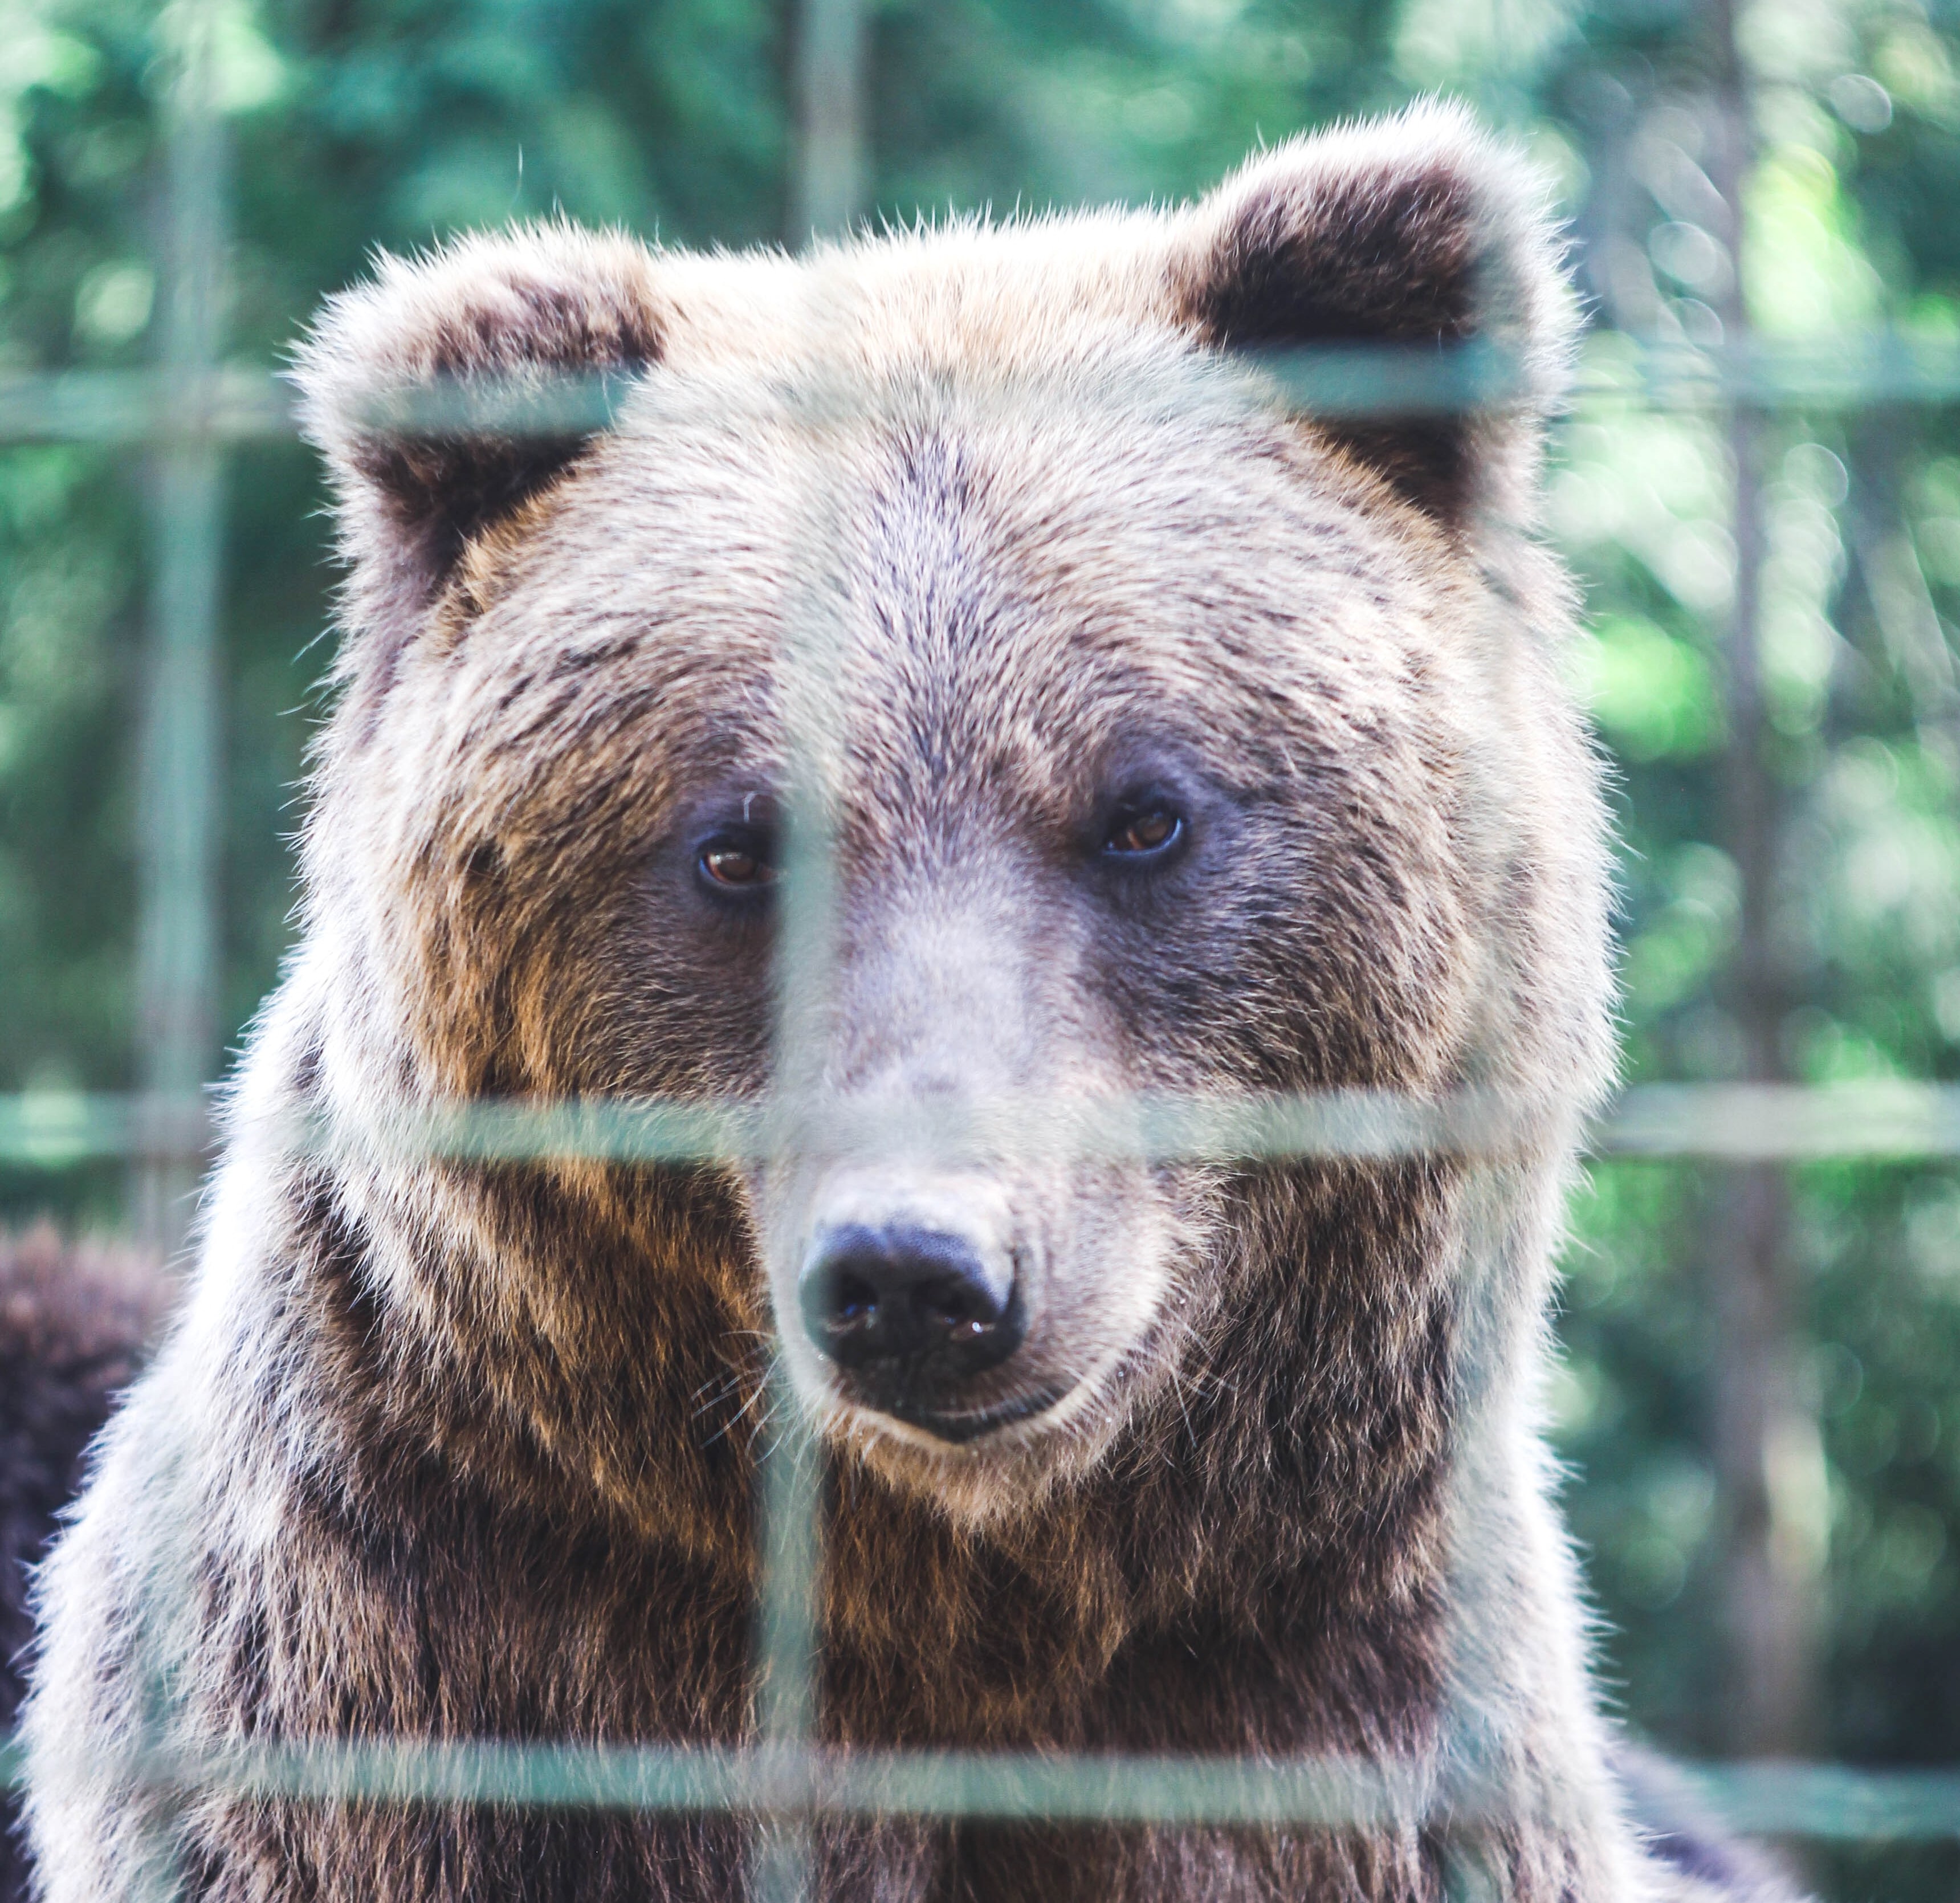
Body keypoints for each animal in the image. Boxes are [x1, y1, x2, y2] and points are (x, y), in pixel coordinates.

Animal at [19, 104, 1764, 1903]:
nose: (919, 1274)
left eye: (1143, 812)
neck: (934, 1592)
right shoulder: (414, 1692)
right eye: (737, 846)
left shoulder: (1320, 1730)